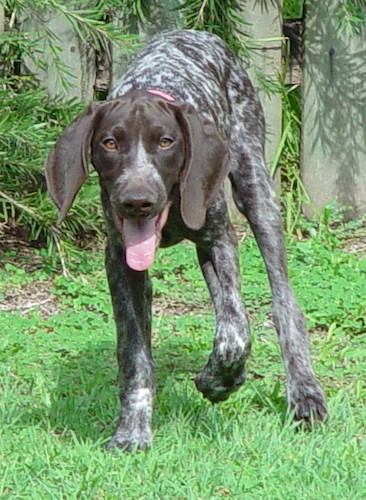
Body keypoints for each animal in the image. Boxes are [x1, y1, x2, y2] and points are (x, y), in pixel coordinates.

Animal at [44, 29, 328, 452]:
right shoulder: (121, 262)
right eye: (110, 143)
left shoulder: (219, 239)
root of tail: (193, 32)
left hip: (255, 188)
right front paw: (132, 429)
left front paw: (219, 380)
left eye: (166, 142)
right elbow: (135, 354)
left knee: (282, 303)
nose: (137, 201)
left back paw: (304, 393)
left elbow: (234, 332)